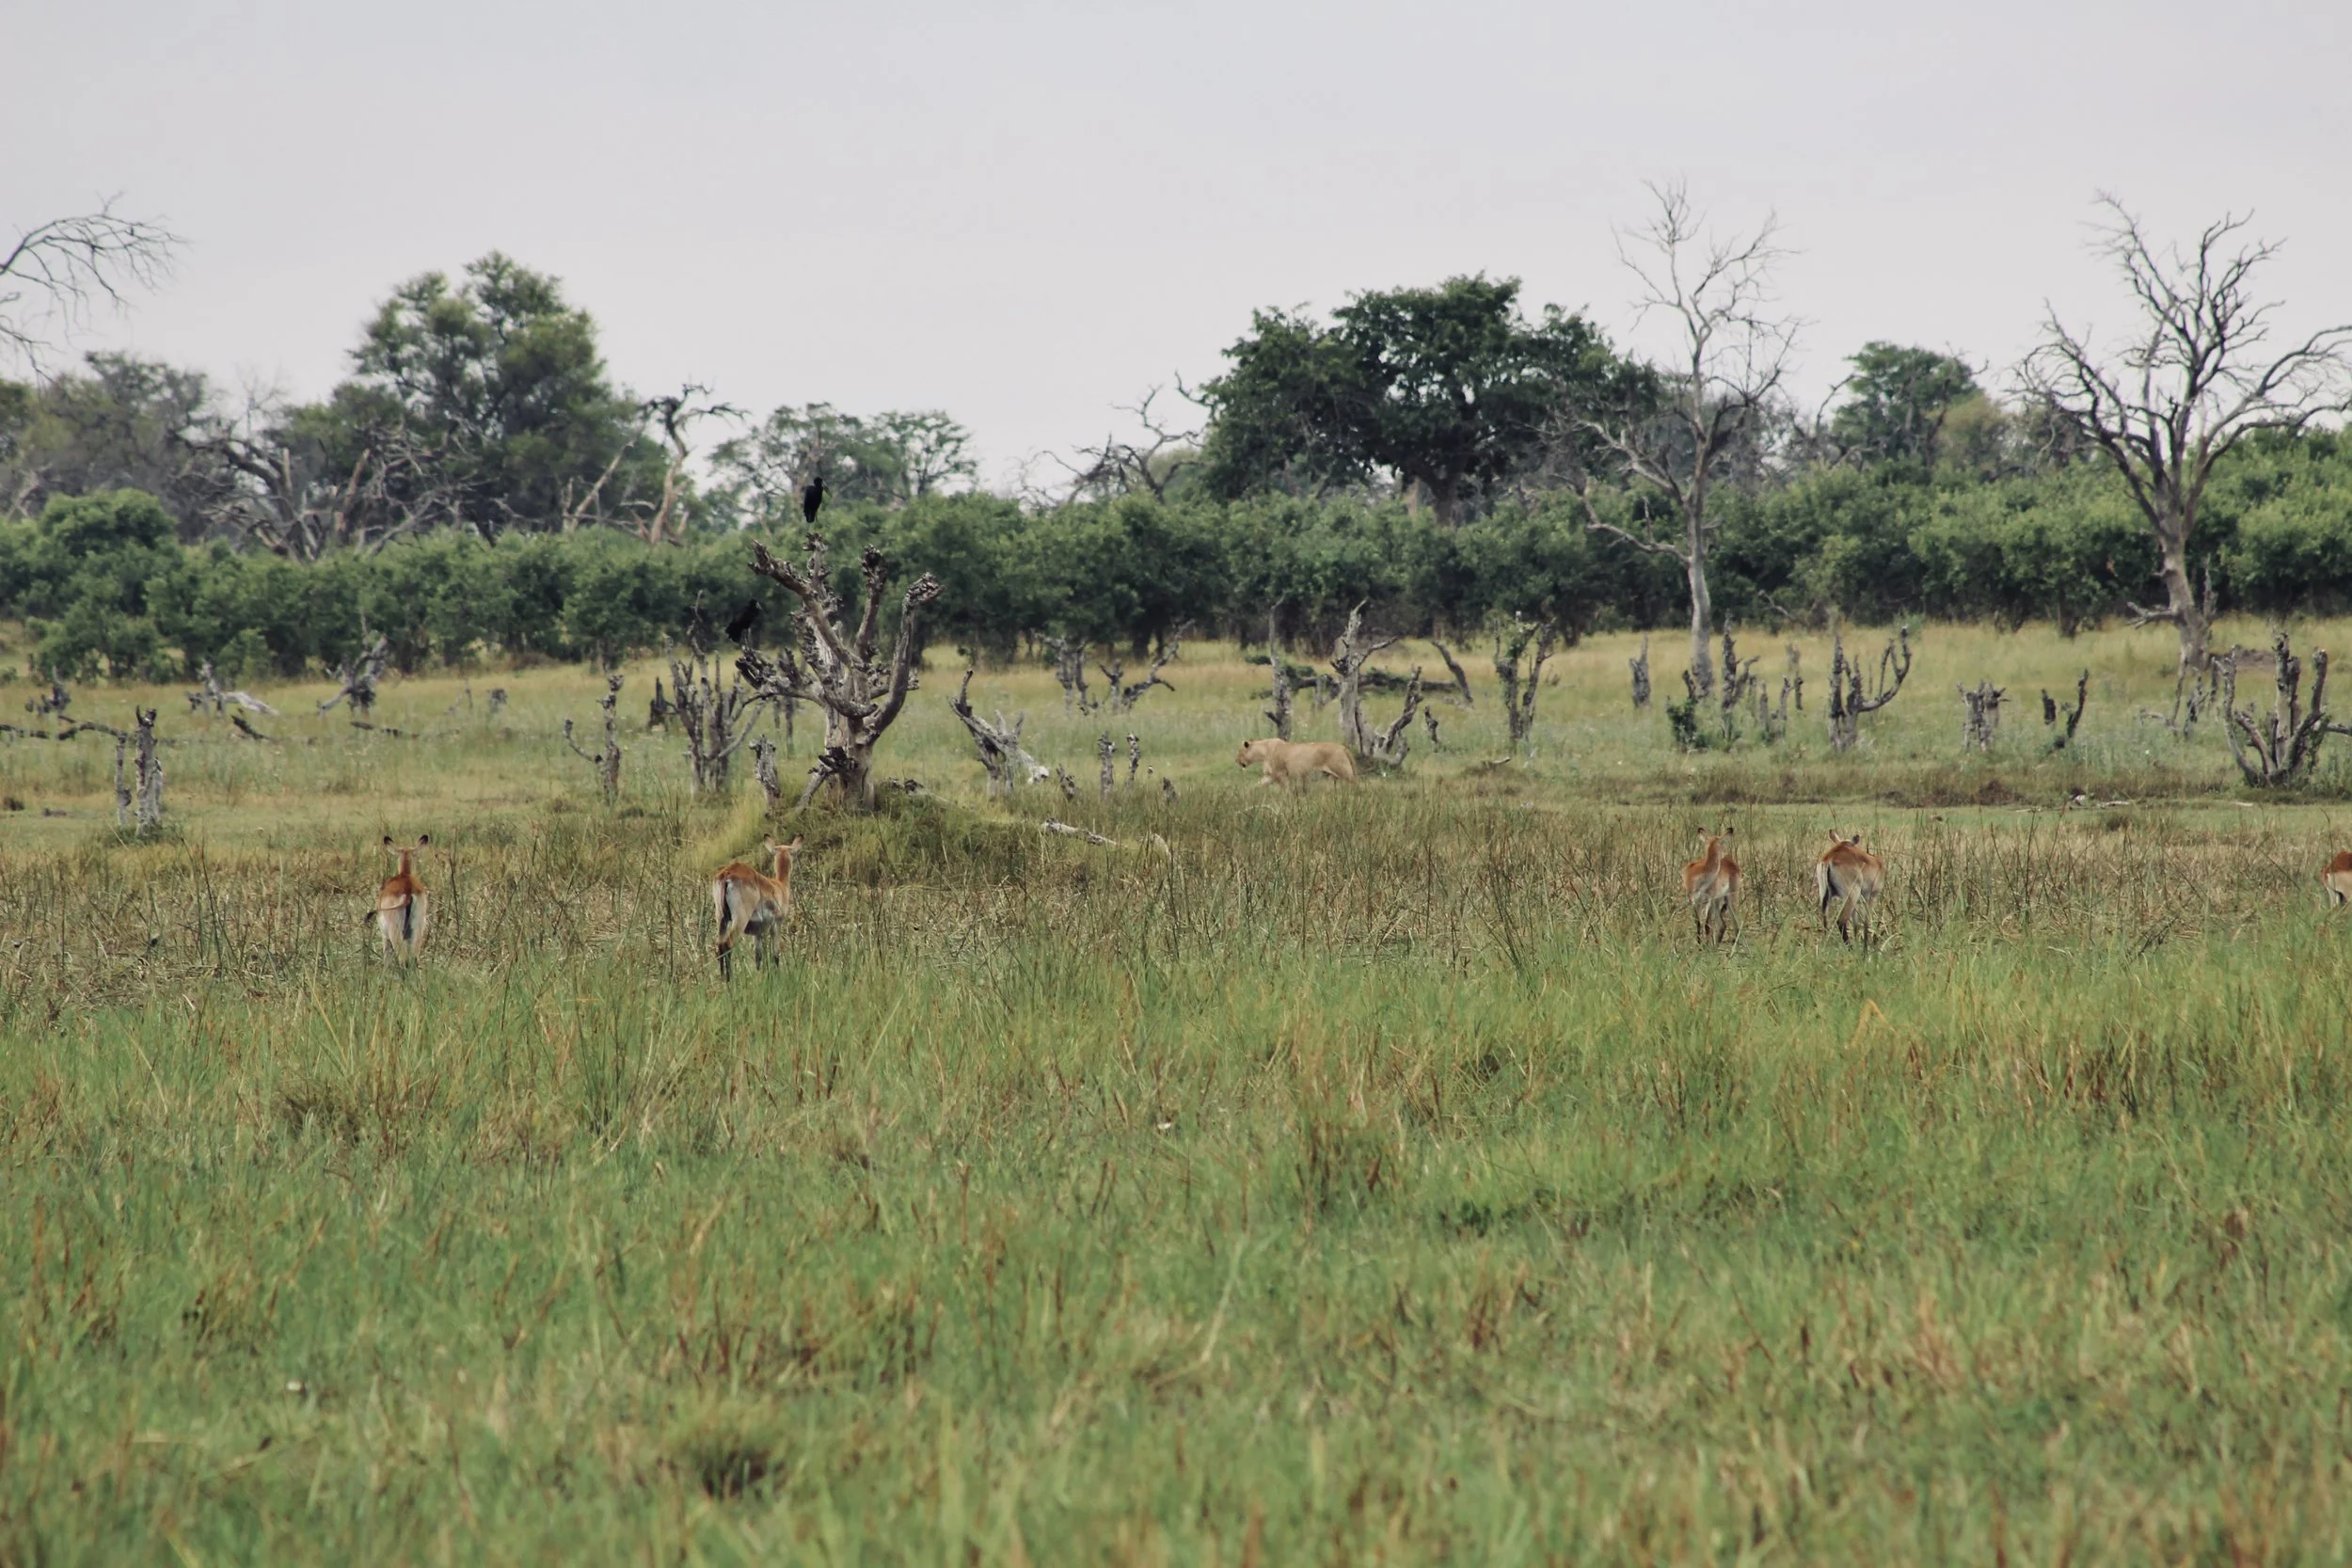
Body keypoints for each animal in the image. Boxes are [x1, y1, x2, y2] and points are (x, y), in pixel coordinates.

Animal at [1236, 738, 1357, 786]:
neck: (1263, 752)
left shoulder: (1281, 774)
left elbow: (1286, 790)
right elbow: (1258, 785)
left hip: (1344, 772)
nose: (1236, 760)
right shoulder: (1270, 776)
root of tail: (1343, 748)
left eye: (1240, 752)